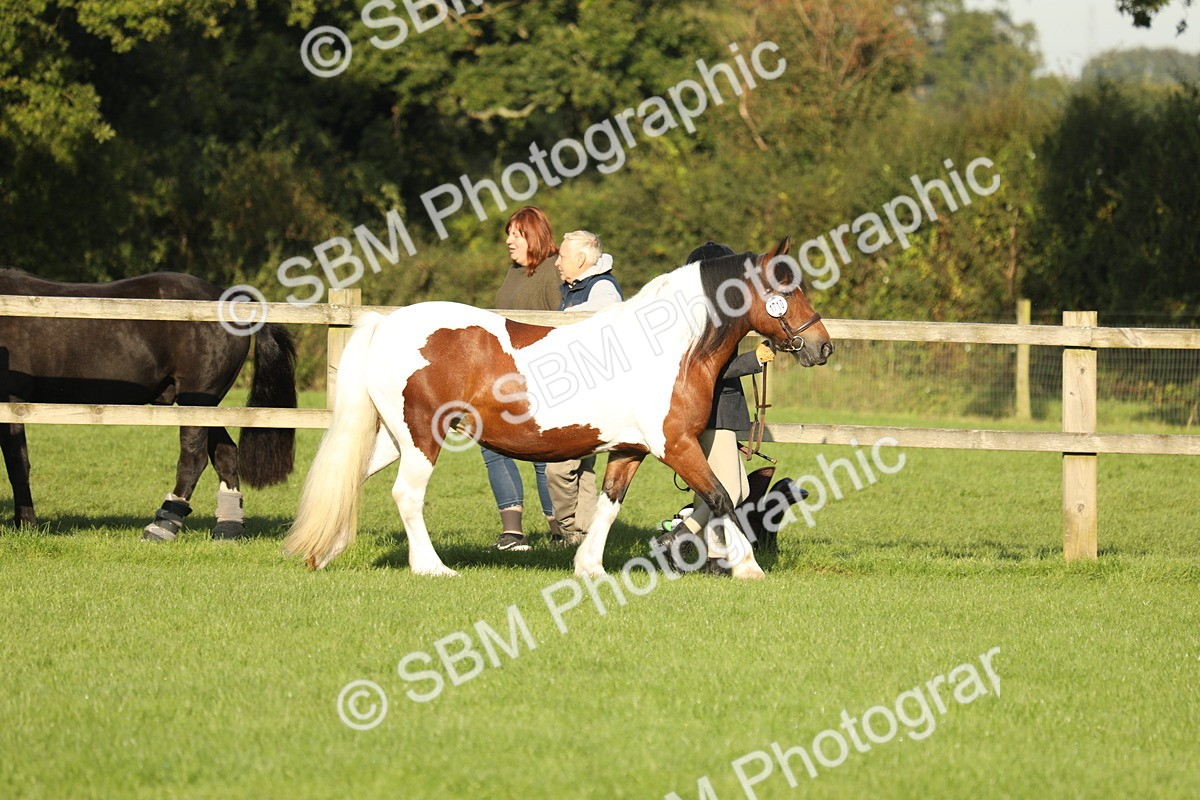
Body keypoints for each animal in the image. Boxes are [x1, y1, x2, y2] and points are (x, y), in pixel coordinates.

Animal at [0, 269, 297, 539]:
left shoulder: (12, 401)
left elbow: (17, 464)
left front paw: (26, 524)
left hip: (196, 401)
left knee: (194, 459)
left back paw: (162, 526)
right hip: (205, 407)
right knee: (225, 454)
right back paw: (228, 528)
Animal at [284, 238, 832, 579]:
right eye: (784, 288)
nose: (822, 347)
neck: (668, 346)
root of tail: (386, 324)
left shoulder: (629, 450)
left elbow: (609, 505)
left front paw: (589, 566)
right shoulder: (675, 446)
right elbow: (720, 499)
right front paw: (748, 567)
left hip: (392, 437)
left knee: (351, 478)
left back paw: (323, 551)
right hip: (422, 437)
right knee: (407, 495)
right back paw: (431, 567)